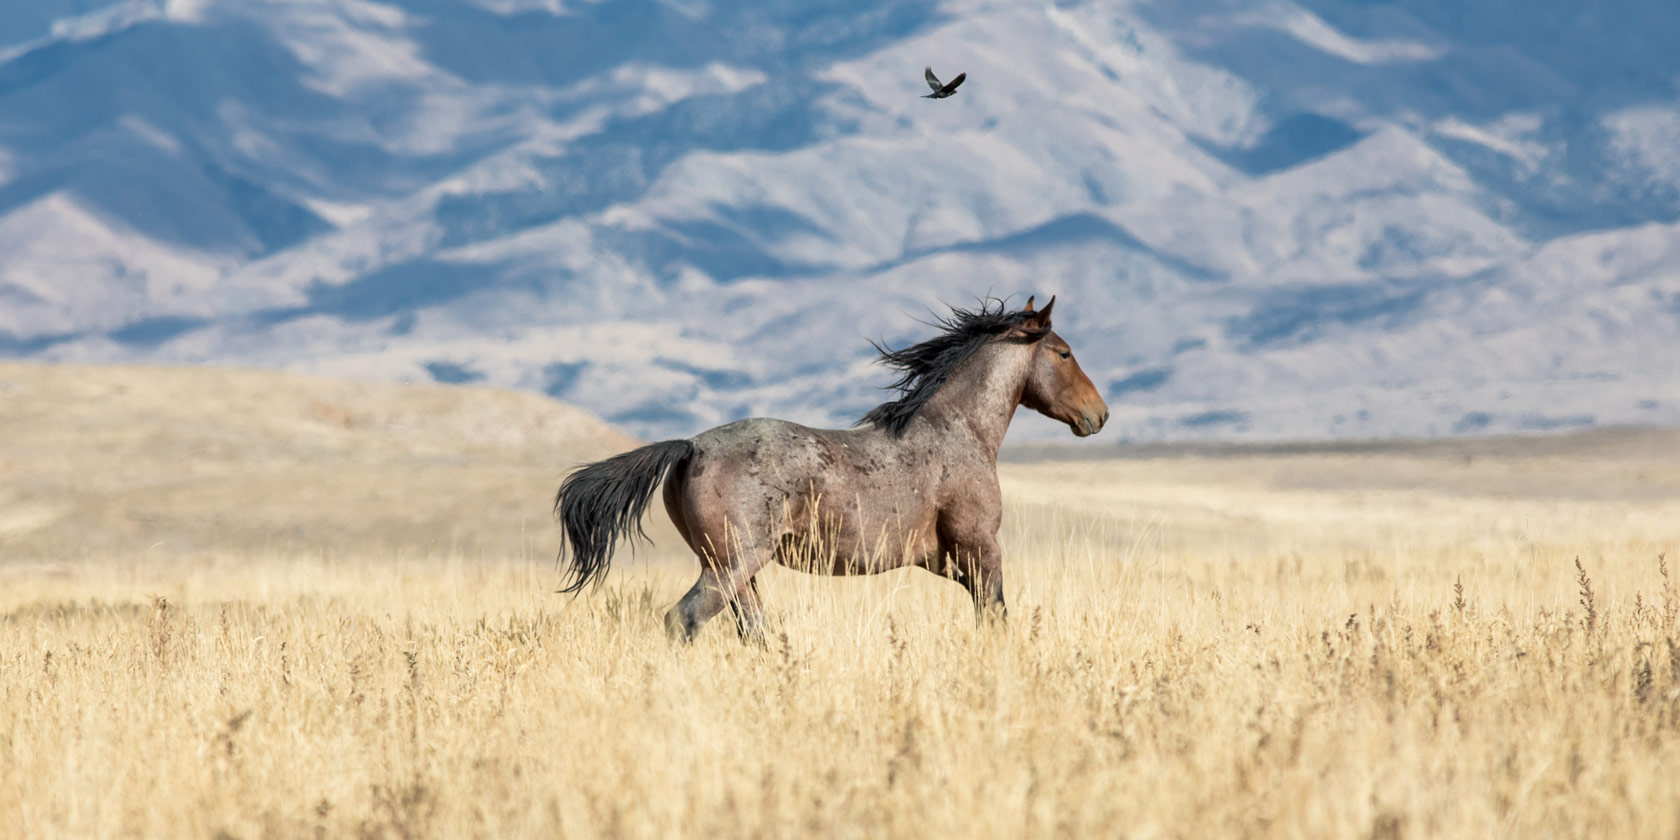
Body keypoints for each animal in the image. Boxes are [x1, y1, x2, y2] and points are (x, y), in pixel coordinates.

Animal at [551, 297, 1108, 641]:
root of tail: (689, 447)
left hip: (734, 570)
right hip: (733, 565)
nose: (1098, 415)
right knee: (682, 620)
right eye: (1064, 353)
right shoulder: (981, 548)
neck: (958, 429)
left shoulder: (945, 561)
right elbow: (995, 618)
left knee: (753, 631)